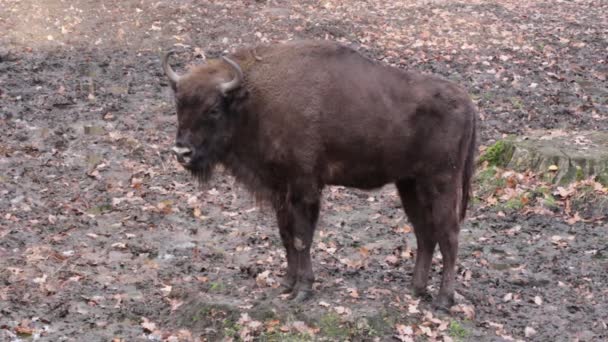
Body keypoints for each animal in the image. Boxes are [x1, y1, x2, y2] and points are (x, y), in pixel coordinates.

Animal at [164, 40, 478, 310]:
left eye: (213, 109)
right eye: (179, 105)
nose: (182, 152)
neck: (254, 100)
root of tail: (467, 102)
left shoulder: (305, 188)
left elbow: (303, 237)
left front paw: (303, 289)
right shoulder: (280, 191)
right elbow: (286, 236)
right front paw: (287, 284)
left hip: (442, 183)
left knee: (449, 235)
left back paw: (443, 300)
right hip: (409, 185)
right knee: (425, 234)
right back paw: (416, 289)